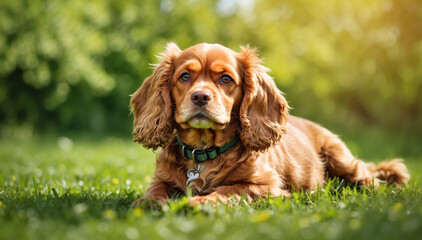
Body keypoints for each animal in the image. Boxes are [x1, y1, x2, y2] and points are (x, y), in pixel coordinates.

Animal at [130, 42, 410, 206]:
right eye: (185, 76)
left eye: (226, 79)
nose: (200, 97)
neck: (204, 151)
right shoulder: (162, 179)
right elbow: (155, 192)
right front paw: (146, 203)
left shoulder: (267, 187)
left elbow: (228, 190)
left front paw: (198, 202)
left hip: (342, 158)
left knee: (368, 177)